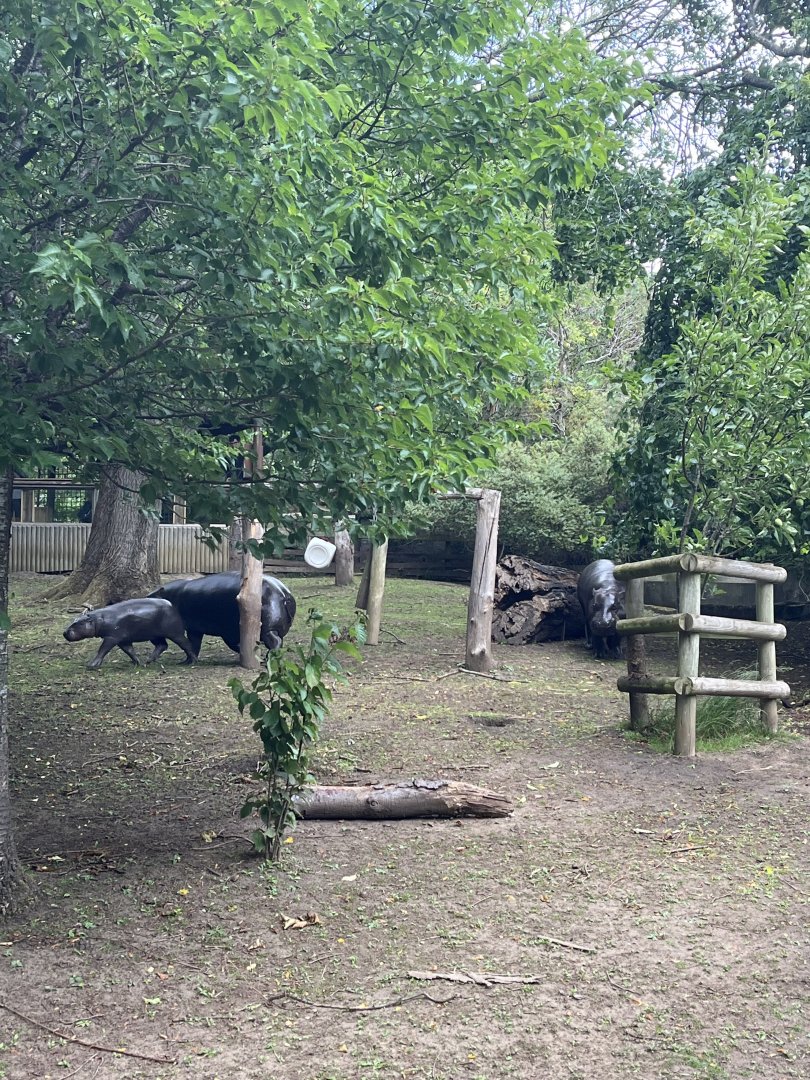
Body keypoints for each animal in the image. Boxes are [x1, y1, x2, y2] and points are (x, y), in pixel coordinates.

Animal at [63, 598, 197, 669]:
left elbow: (103, 650)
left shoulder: (112, 637)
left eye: (77, 623)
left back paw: (191, 661)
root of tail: (172, 605)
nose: (64, 632)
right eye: (74, 620)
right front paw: (137, 663)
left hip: (175, 633)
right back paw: (148, 661)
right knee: (162, 645)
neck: (98, 619)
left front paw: (91, 665)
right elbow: (129, 651)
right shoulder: (123, 640)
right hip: (154, 635)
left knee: (186, 644)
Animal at [150, 571, 296, 659]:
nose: (146, 596)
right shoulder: (196, 628)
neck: (172, 595)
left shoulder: (226, 631)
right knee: (280, 641)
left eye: (154, 593)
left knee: (275, 641)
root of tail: (284, 593)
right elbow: (195, 644)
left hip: (267, 629)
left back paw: (268, 659)